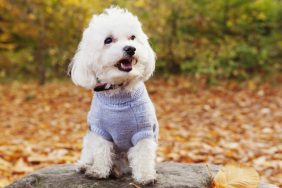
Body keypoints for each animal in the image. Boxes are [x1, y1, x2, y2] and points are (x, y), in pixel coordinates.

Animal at [67, 6, 158, 184]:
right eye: (108, 40)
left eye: (132, 37)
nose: (130, 48)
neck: (120, 91)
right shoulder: (100, 131)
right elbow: (101, 151)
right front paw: (98, 171)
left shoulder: (143, 131)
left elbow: (143, 154)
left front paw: (145, 175)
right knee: (89, 154)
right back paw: (85, 165)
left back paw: (116, 171)